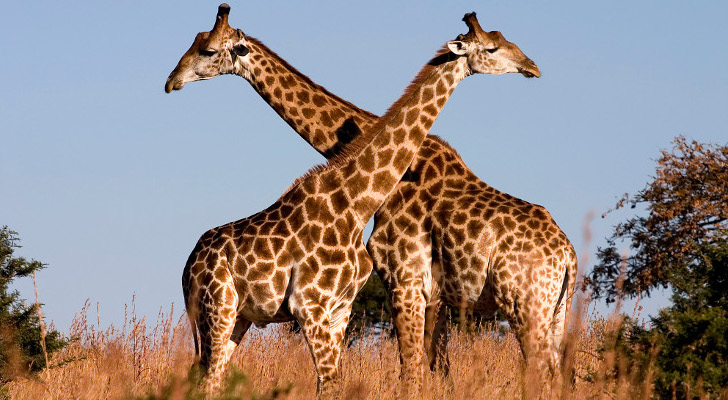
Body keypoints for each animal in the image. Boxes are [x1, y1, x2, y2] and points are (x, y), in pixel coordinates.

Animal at [166, 5, 542, 396]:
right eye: (493, 46)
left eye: (207, 50)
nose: (171, 80)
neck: (353, 201)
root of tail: (189, 264)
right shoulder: (321, 303)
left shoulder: (349, 304)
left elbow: (349, 381)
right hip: (220, 309)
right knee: (209, 379)